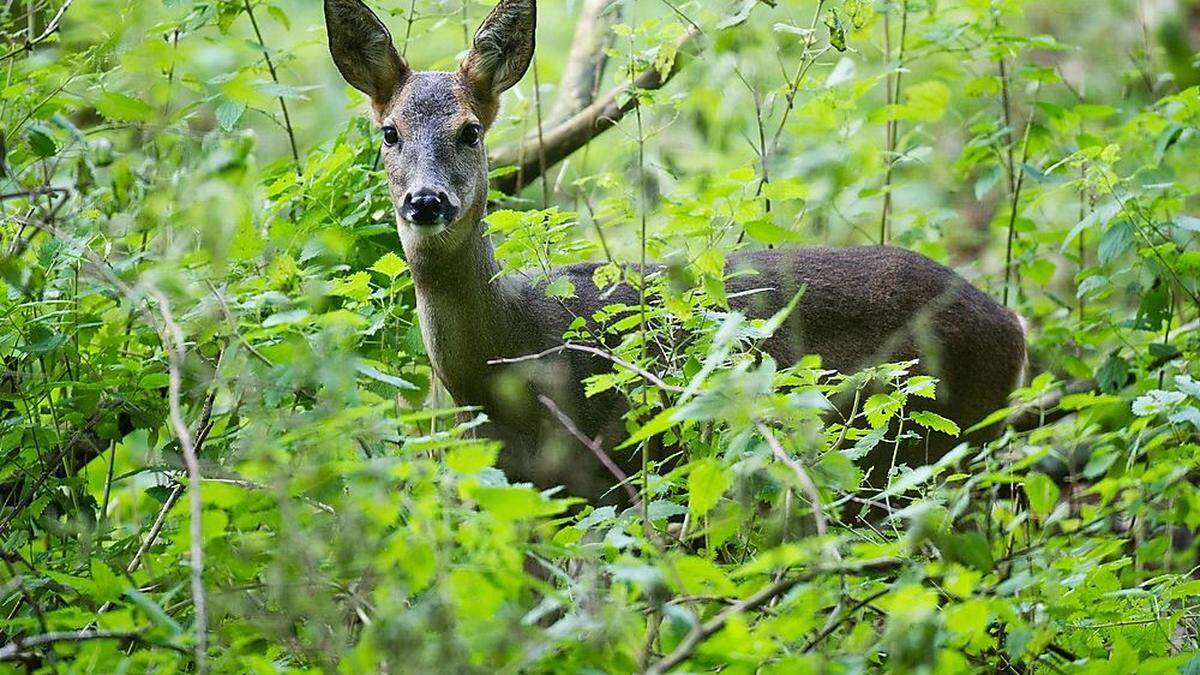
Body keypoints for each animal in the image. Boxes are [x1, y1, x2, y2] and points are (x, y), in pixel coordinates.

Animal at [324, 0, 1027, 499]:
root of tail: (1012, 326)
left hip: (938, 437)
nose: (426, 201)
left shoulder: (612, 465)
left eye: (470, 131)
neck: (511, 361)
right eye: (389, 133)